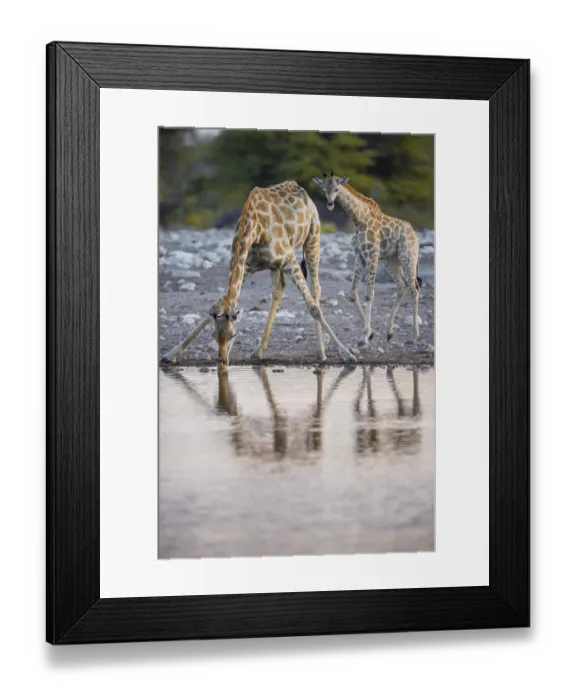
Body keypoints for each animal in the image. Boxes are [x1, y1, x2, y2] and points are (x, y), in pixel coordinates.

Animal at [161, 181, 356, 366]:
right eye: (214, 336)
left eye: (233, 335)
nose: (222, 361)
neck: (253, 229)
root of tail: (303, 191)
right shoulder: (248, 265)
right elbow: (216, 304)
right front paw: (170, 354)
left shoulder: (289, 260)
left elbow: (313, 308)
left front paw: (347, 355)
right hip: (275, 266)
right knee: (279, 290)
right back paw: (258, 351)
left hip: (312, 237)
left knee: (315, 290)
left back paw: (321, 352)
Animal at [312, 172, 423, 347]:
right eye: (324, 188)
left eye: (337, 189)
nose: (330, 204)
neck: (359, 220)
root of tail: (415, 234)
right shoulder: (360, 256)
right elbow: (352, 294)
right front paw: (370, 333)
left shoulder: (372, 255)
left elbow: (369, 294)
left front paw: (364, 336)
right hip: (391, 261)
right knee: (402, 285)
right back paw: (389, 332)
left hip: (408, 257)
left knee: (414, 289)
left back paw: (414, 337)